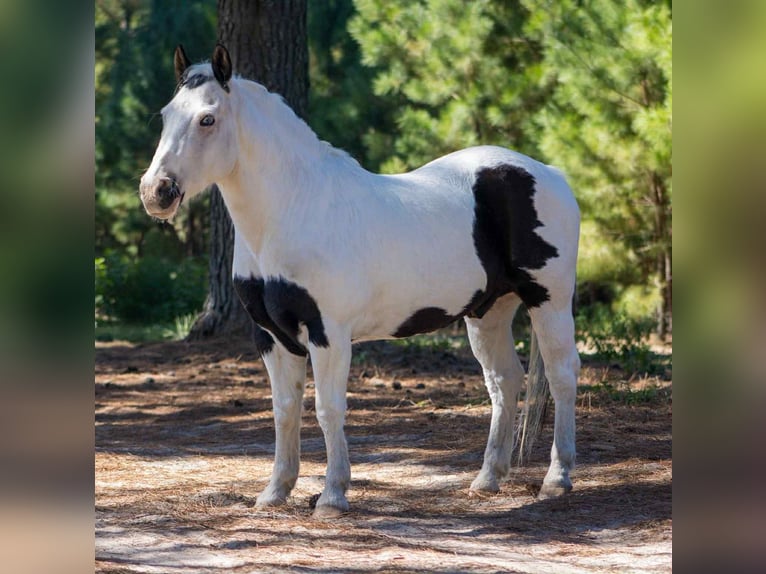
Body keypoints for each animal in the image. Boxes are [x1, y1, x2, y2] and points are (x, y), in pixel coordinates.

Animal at [139, 44, 581, 518]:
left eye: (208, 118)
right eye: (166, 115)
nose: (156, 192)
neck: (293, 208)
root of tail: (550, 172)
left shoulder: (328, 334)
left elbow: (327, 410)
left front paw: (332, 496)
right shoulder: (271, 337)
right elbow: (284, 411)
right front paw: (275, 492)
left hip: (549, 301)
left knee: (561, 375)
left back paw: (557, 480)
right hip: (488, 311)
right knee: (504, 381)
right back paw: (487, 479)